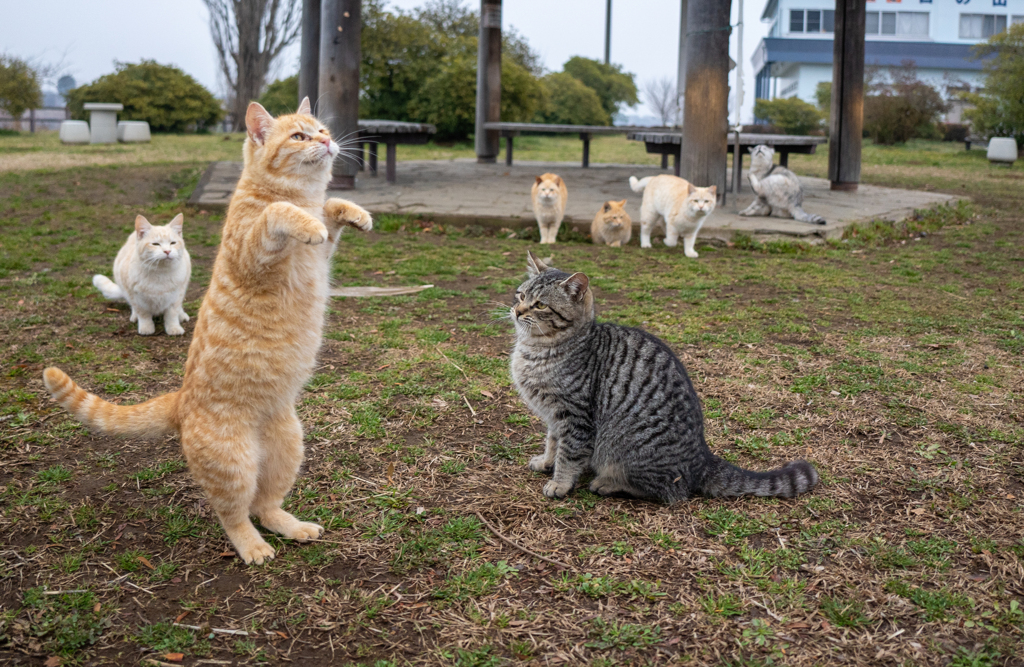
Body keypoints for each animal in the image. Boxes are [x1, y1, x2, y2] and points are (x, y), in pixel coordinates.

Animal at [43, 99, 376, 565]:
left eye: (323, 129)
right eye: (299, 136)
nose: (328, 142)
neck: (299, 195)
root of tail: (180, 401)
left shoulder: (323, 252)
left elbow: (332, 210)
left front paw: (354, 212)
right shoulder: (254, 254)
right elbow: (278, 215)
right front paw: (304, 220)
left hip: (288, 448)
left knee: (266, 504)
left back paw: (292, 527)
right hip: (234, 464)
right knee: (234, 514)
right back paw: (254, 548)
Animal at [507, 253, 819, 504]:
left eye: (540, 305)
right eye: (520, 296)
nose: (517, 311)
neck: (536, 349)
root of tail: (701, 457)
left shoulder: (575, 416)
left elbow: (568, 454)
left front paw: (560, 483)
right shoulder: (553, 415)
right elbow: (552, 442)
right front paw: (546, 462)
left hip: (626, 451)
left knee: (671, 491)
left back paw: (609, 483)